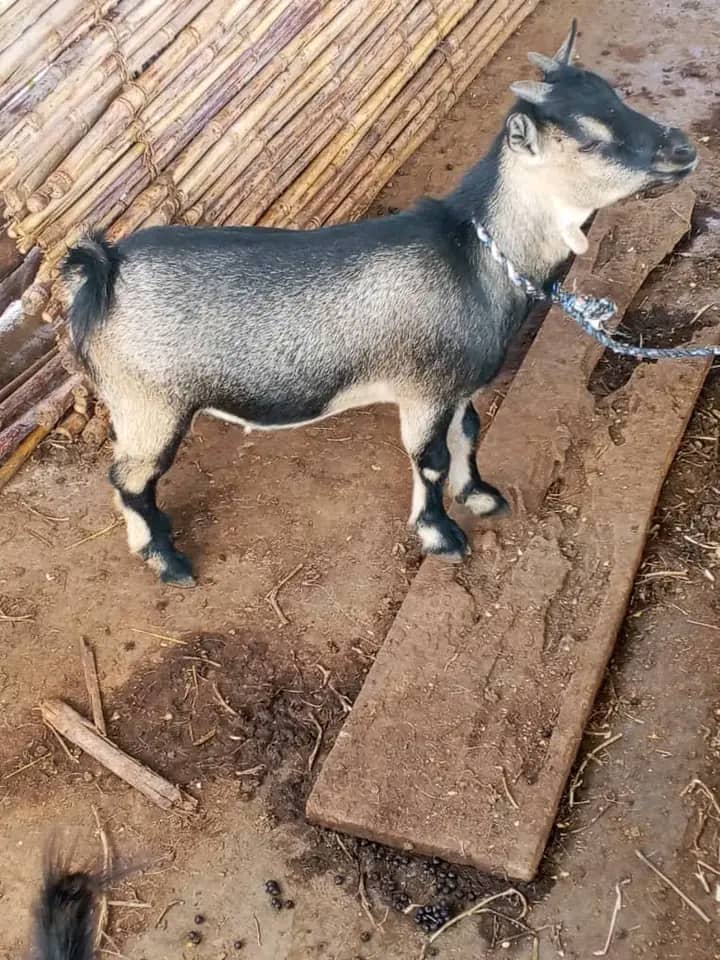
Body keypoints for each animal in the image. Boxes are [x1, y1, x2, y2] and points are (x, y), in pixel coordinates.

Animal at [63, 21, 697, 587]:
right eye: (590, 135)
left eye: (618, 97)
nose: (684, 147)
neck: (474, 255)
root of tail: (105, 269)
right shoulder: (424, 389)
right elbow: (430, 459)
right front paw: (441, 534)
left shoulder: (457, 386)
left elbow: (469, 433)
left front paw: (480, 495)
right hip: (149, 404)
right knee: (129, 479)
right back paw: (168, 562)